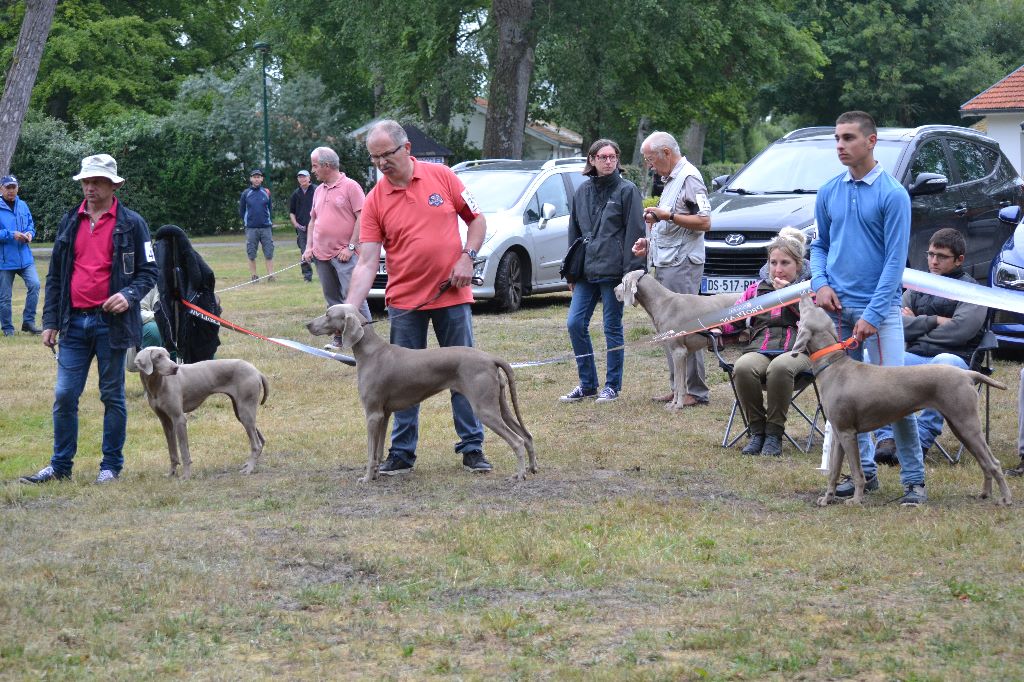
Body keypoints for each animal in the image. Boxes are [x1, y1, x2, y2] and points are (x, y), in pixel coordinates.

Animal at [137, 346, 272, 477]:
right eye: (158, 356)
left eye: (168, 356)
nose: (175, 368)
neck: (157, 385)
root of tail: (256, 371)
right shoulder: (165, 422)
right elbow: (172, 451)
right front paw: (171, 473)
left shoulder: (179, 419)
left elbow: (184, 450)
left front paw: (186, 476)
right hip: (240, 412)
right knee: (261, 440)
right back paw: (249, 464)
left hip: (245, 411)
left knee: (256, 444)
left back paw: (249, 469)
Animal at [303, 301, 536, 481]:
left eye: (328, 314)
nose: (307, 325)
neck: (371, 352)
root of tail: (490, 357)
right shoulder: (384, 414)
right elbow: (378, 451)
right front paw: (377, 474)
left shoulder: (372, 414)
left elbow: (370, 452)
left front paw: (367, 478)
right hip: (500, 404)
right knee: (527, 435)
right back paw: (532, 468)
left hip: (484, 409)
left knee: (517, 440)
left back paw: (519, 475)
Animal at [610, 270, 741, 409]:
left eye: (623, 282)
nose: (614, 290)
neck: (663, 303)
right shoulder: (684, 354)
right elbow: (680, 383)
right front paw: (674, 403)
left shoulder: (678, 352)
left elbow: (678, 383)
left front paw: (677, 405)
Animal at [790, 292, 1007, 503]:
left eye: (811, 308)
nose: (805, 293)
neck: (833, 364)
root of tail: (968, 374)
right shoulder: (838, 433)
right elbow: (833, 472)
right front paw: (827, 498)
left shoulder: (847, 432)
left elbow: (857, 471)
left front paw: (856, 500)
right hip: (960, 426)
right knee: (984, 462)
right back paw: (985, 494)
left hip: (966, 423)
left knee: (994, 463)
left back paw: (1006, 499)